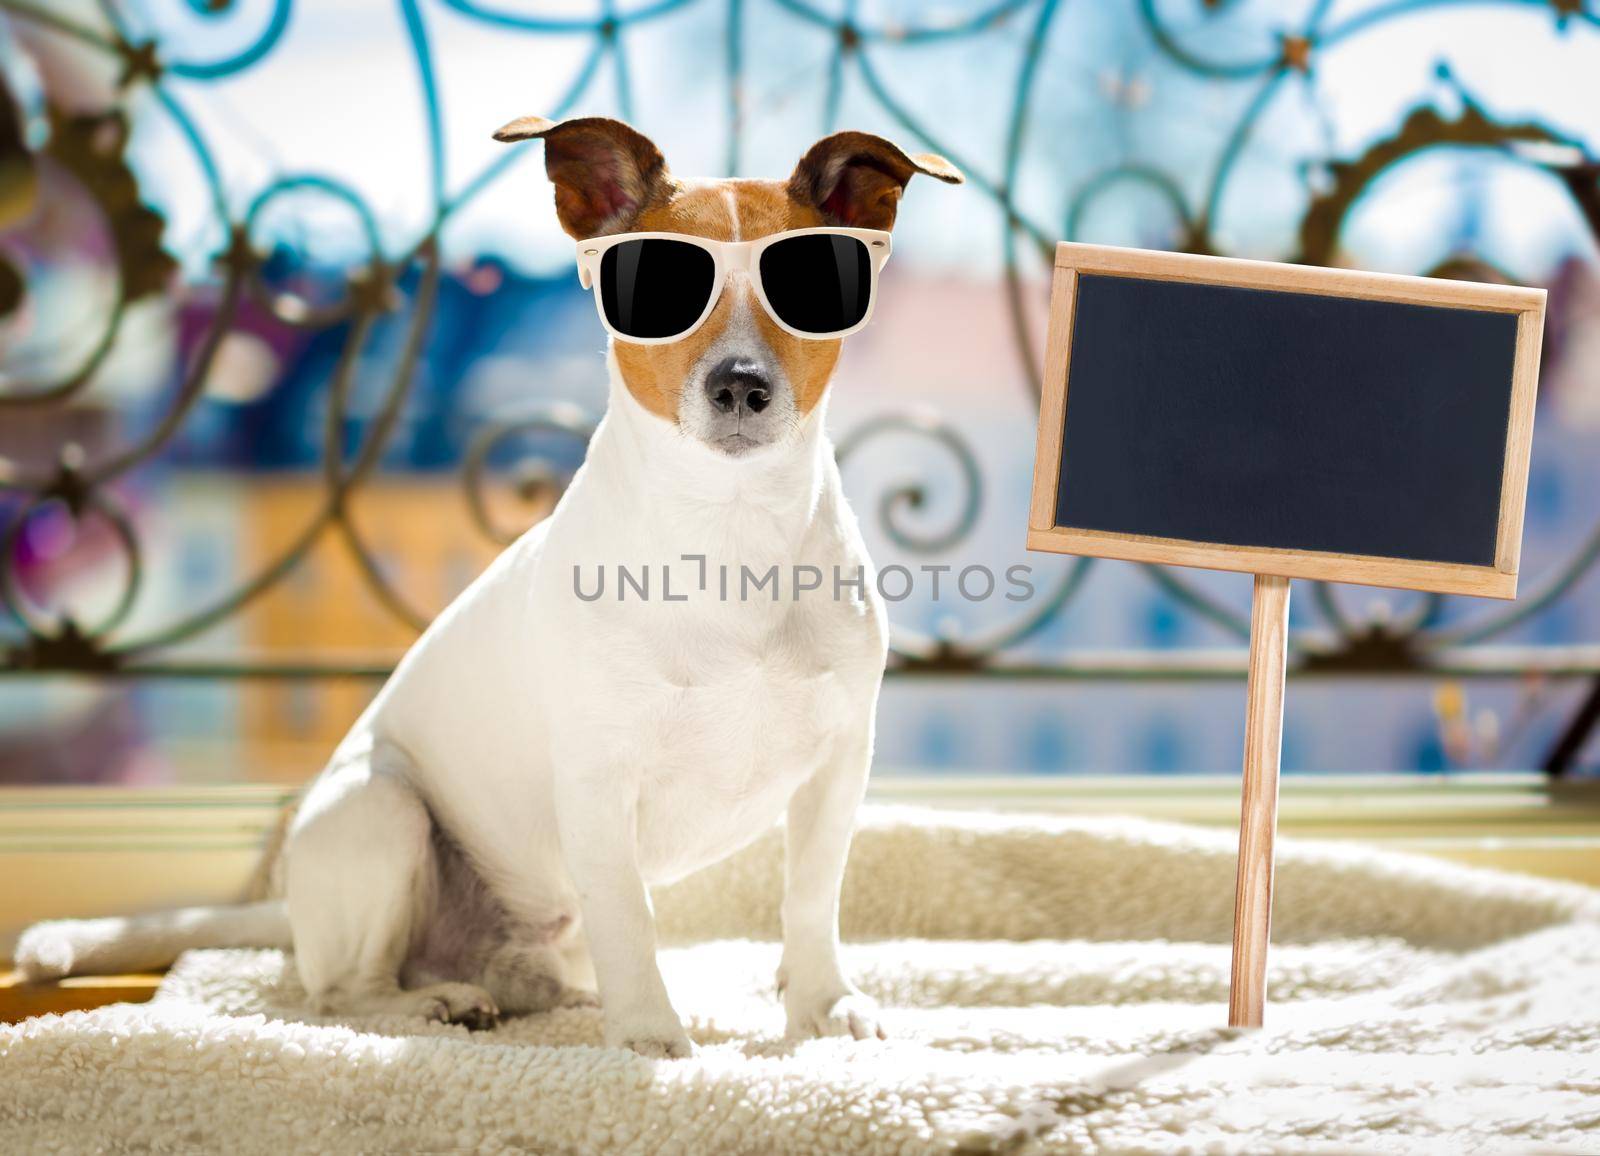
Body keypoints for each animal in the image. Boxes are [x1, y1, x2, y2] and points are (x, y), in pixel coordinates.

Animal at [12, 114, 960, 1056]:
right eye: (657, 284)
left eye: (809, 281)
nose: (740, 385)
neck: (728, 532)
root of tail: (292, 911)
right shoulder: (598, 777)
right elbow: (629, 916)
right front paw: (650, 1039)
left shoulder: (839, 764)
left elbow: (811, 898)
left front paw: (823, 1006)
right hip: (382, 813)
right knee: (337, 994)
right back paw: (434, 1006)